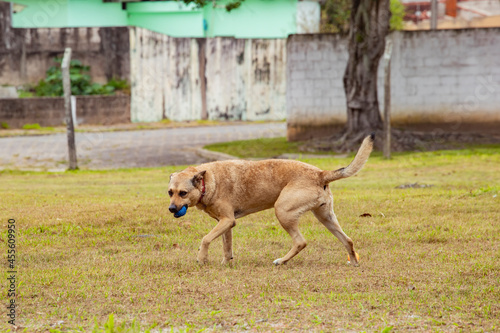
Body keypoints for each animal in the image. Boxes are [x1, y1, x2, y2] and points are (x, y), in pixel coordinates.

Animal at [169, 132, 376, 264]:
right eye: (170, 192)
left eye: (183, 193)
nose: (171, 209)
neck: (208, 180)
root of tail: (320, 174)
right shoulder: (225, 223)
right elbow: (226, 246)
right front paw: (225, 263)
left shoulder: (227, 220)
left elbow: (205, 239)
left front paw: (202, 258)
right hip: (326, 217)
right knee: (348, 240)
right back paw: (354, 262)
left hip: (283, 211)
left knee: (300, 242)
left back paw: (281, 261)